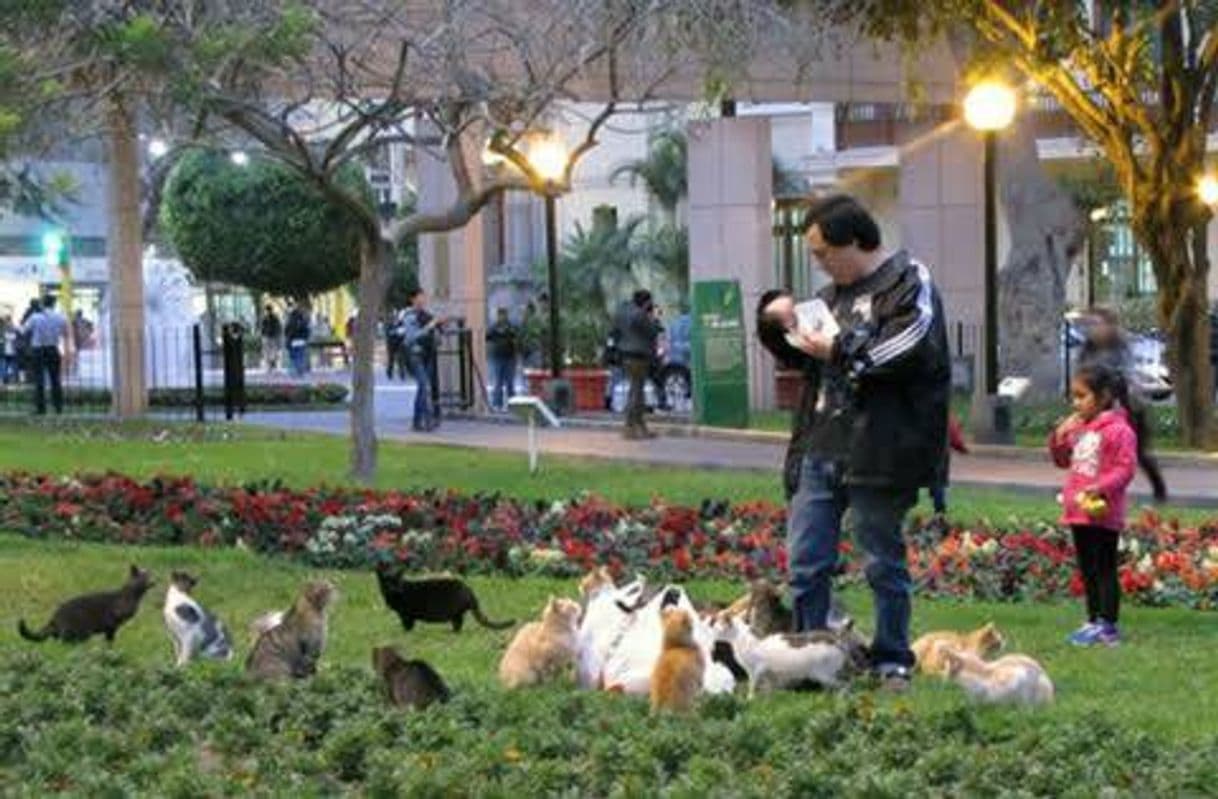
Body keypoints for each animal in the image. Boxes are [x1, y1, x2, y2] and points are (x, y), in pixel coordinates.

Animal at [17, 565, 154, 647]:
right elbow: (110, 639)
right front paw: (110, 649)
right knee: (65, 643)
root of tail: (54, 618)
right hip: (80, 632)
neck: (134, 597)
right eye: (144, 578)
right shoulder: (111, 624)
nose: (153, 581)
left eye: (151, 576)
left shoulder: (111, 627)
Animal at [377, 565, 516, 633]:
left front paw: (405, 633)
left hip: (455, 612)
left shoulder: (406, 615)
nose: (393, 588)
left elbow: (407, 625)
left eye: (396, 582)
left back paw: (452, 632)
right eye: (387, 583)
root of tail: (468, 589)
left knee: (458, 623)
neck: (393, 596)